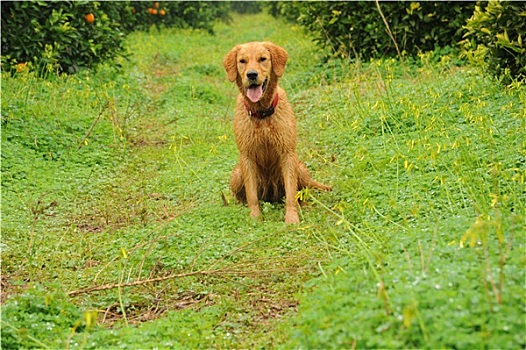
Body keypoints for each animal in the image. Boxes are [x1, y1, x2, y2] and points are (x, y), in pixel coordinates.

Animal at [224, 41, 332, 224]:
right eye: (242, 61)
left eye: (262, 59)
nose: (251, 75)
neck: (262, 114)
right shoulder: (246, 156)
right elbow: (252, 195)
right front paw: (255, 217)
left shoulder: (287, 152)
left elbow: (291, 194)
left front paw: (292, 217)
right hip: (237, 174)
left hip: (300, 168)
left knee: (302, 192)